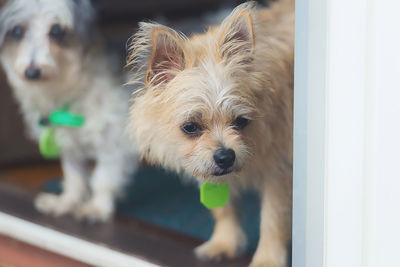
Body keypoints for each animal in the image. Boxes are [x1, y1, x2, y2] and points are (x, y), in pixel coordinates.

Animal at [0, 0, 139, 222]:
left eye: (57, 31)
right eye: (17, 31)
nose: (32, 72)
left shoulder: (114, 141)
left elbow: (104, 177)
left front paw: (96, 207)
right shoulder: (68, 142)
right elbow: (74, 176)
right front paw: (67, 201)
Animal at [128, 1, 294, 266]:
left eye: (241, 121)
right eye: (190, 127)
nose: (226, 156)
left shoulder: (279, 173)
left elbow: (273, 218)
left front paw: (267, 259)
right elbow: (222, 209)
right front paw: (225, 242)